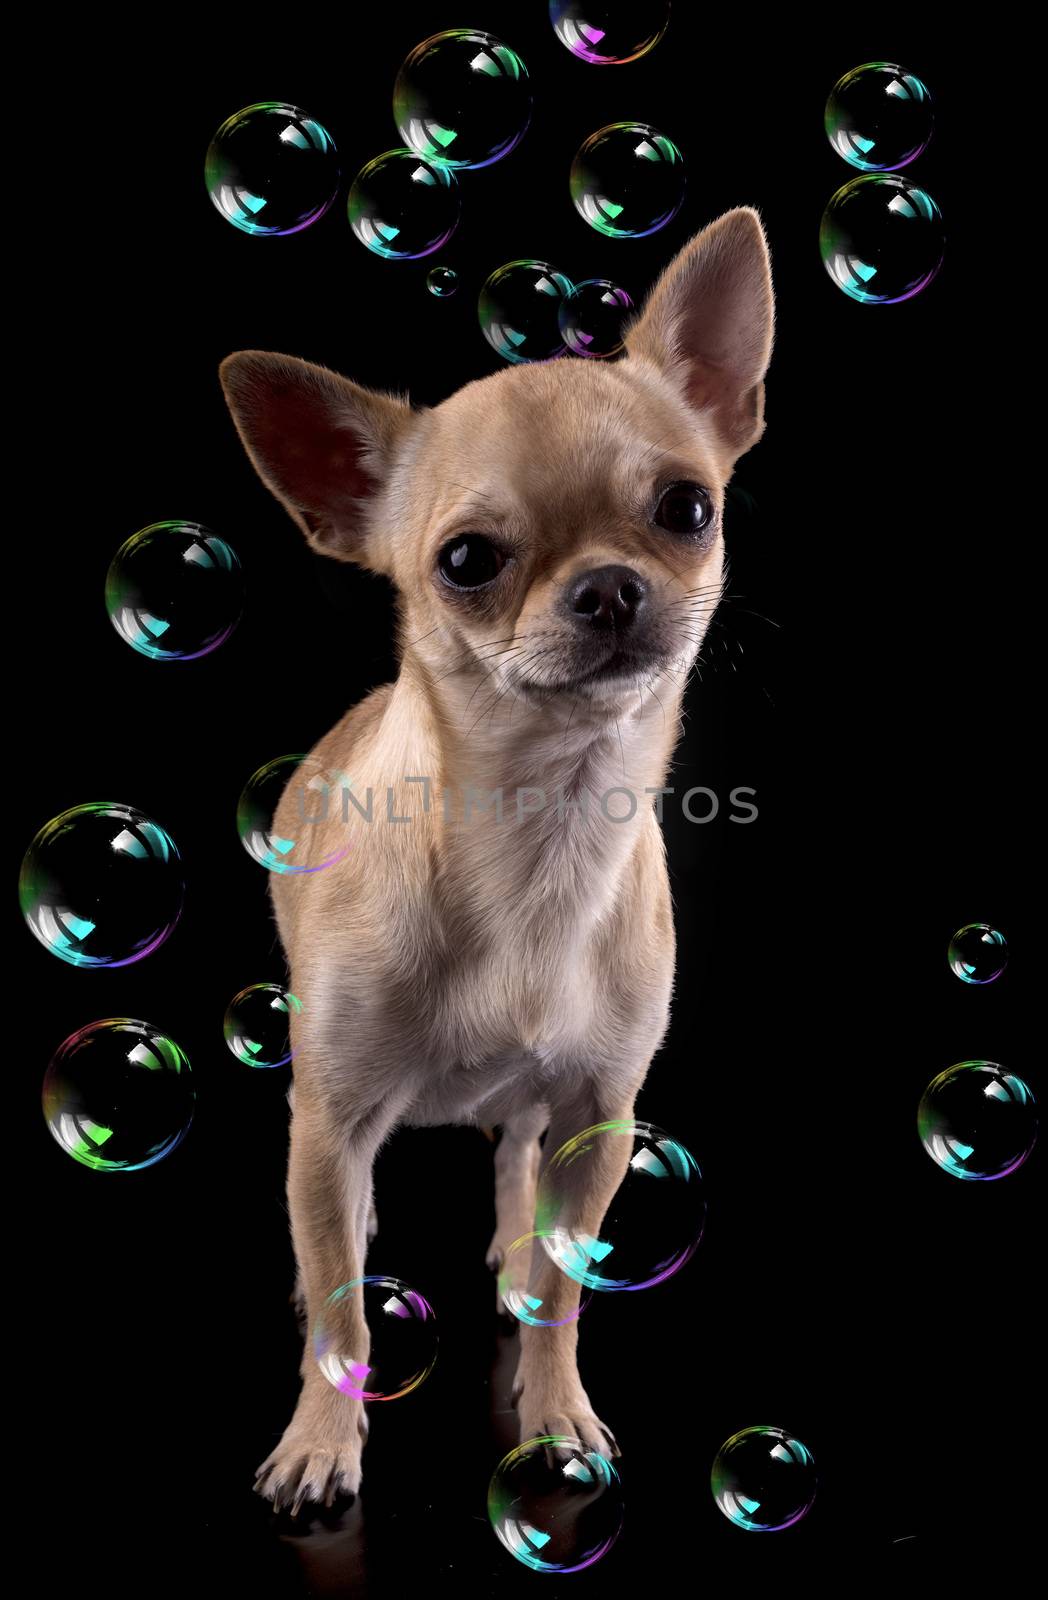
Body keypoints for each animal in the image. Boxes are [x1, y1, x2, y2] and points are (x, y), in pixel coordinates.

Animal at [220, 203, 774, 1510]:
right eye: (468, 560)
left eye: (687, 509)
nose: (610, 587)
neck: (538, 834)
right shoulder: (330, 1117)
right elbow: (343, 1312)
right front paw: (321, 1435)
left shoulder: (603, 1112)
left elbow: (569, 1294)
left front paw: (557, 1407)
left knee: (520, 1168)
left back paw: (517, 1244)